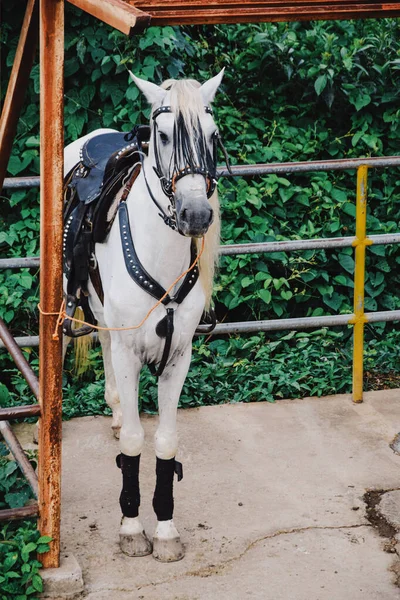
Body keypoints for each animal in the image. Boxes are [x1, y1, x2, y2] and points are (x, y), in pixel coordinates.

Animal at [64, 70, 223, 564]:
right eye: (165, 135)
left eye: (213, 136)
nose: (196, 214)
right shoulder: (130, 352)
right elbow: (135, 443)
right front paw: (132, 527)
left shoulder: (178, 357)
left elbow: (166, 444)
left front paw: (167, 530)